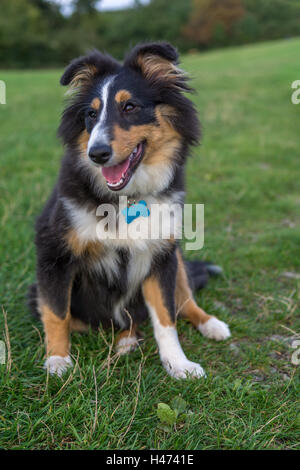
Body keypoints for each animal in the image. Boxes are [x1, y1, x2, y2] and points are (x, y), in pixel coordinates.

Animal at [27, 40, 230, 378]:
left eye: (130, 107)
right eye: (91, 113)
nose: (96, 154)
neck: (126, 198)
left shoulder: (161, 255)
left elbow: (166, 317)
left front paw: (179, 364)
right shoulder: (53, 253)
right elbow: (56, 313)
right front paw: (57, 362)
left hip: (177, 256)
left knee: (184, 299)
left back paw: (210, 324)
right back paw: (125, 341)